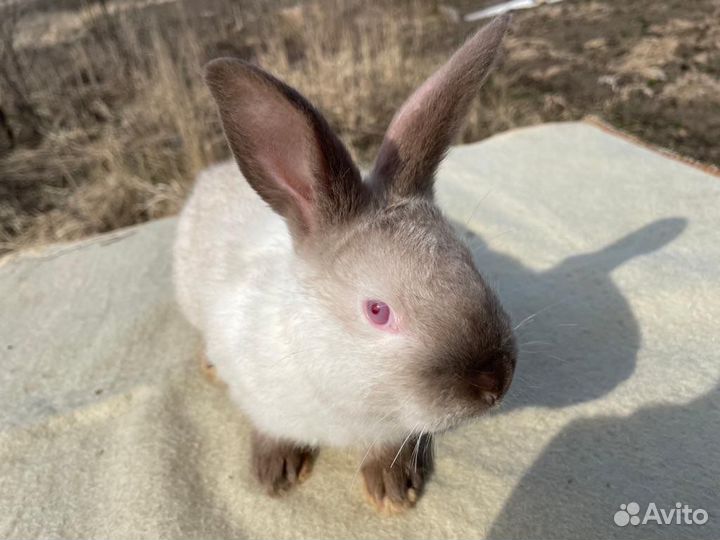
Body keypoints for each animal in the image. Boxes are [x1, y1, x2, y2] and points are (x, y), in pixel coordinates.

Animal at [173, 14, 517, 513]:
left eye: (470, 263)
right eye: (377, 311)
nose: (496, 381)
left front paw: (392, 489)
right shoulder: (257, 394)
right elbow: (269, 429)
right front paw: (275, 473)